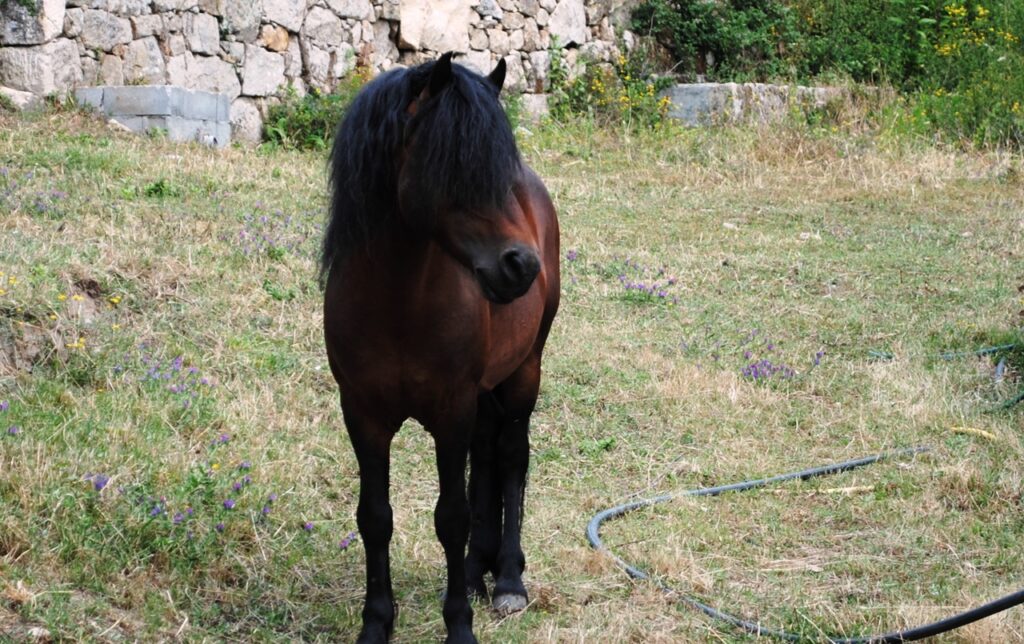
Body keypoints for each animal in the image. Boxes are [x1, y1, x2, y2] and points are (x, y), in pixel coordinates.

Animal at [321, 53, 560, 643]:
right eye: (451, 161)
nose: (521, 266)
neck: (398, 302)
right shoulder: (363, 414)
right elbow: (375, 517)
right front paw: (376, 624)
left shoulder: (450, 411)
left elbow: (450, 516)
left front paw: (459, 627)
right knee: (486, 456)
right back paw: (477, 571)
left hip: (525, 372)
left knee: (511, 456)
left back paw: (507, 580)